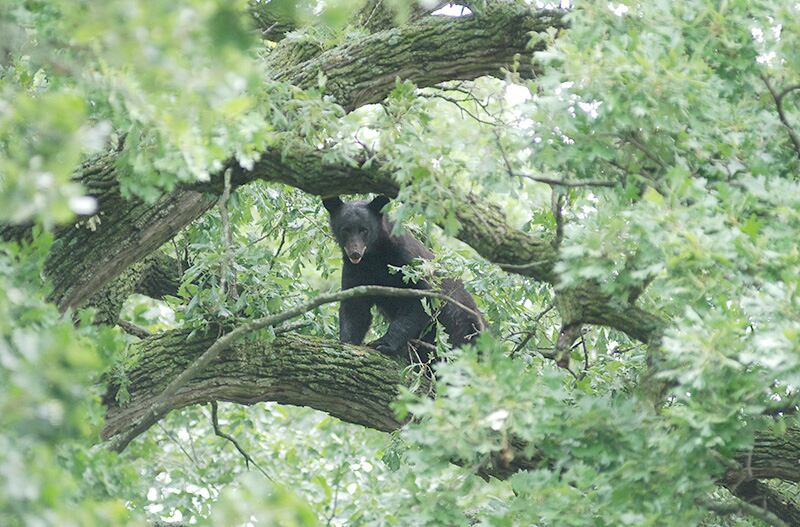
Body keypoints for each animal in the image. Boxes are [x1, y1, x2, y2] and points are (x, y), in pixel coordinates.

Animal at [322, 195, 484, 362]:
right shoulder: (356, 271)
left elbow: (420, 301)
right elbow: (355, 306)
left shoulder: (408, 262)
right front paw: (347, 341)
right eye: (345, 230)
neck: (374, 257)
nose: (355, 253)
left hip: (462, 326)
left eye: (364, 230)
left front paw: (383, 343)